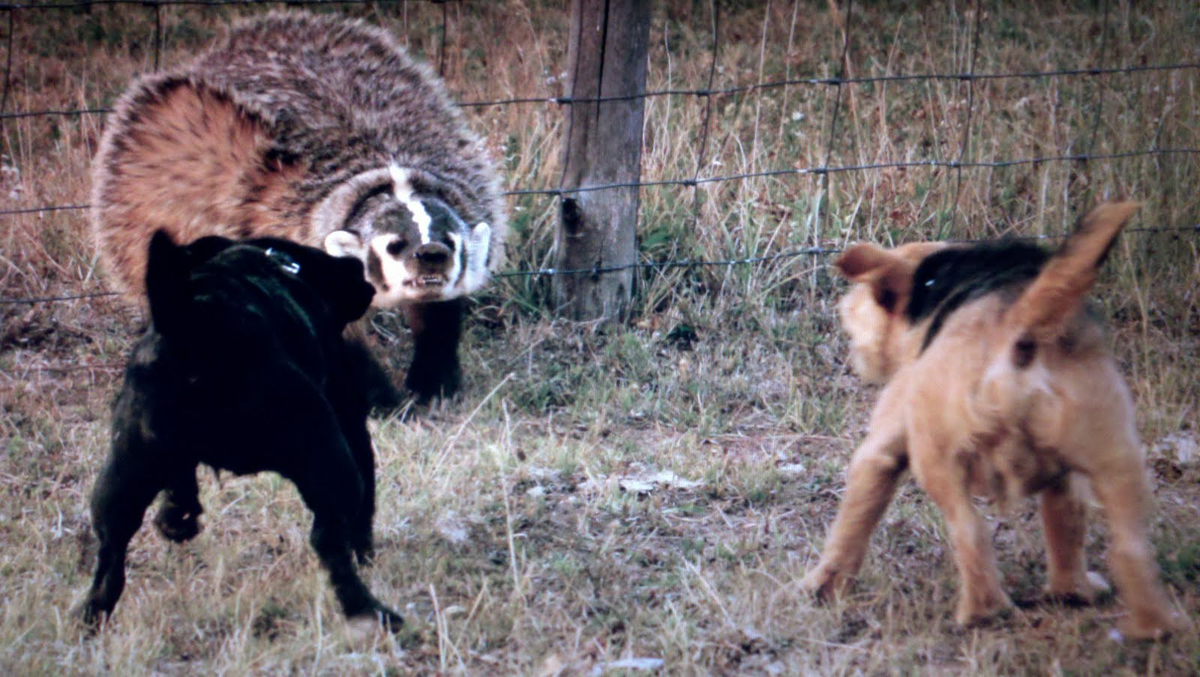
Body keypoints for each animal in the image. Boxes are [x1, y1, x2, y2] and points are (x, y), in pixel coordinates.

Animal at [83, 230, 408, 633]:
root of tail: (187, 328)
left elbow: (180, 482)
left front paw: (176, 516)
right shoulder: (349, 421)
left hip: (123, 475)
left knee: (110, 551)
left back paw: (93, 616)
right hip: (327, 455)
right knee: (329, 539)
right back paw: (369, 610)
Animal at [801, 202, 1176, 638]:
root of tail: (1021, 323)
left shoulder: (884, 443)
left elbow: (853, 518)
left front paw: (821, 585)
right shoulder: (1066, 475)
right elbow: (1065, 521)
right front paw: (1071, 589)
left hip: (937, 458)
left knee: (970, 530)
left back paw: (982, 611)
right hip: (1116, 452)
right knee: (1131, 544)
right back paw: (1142, 621)